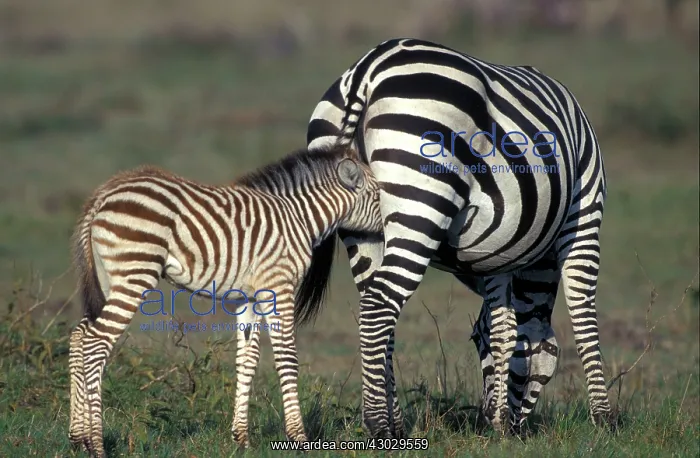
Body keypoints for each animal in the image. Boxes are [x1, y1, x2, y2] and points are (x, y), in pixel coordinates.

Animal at [67, 144, 383, 456]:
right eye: (380, 196)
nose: (390, 231)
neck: (299, 218)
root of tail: (103, 194)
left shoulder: (249, 297)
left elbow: (247, 360)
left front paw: (241, 438)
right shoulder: (277, 286)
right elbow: (287, 358)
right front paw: (299, 438)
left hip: (107, 279)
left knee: (79, 336)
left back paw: (79, 438)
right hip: (134, 272)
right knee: (95, 342)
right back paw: (97, 445)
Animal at [304, 37, 612, 437]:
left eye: (475, 344)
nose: (505, 426)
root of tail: (368, 67)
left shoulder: (499, 250)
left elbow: (500, 326)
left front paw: (497, 416)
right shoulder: (585, 212)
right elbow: (581, 315)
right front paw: (603, 418)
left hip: (363, 227)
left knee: (380, 314)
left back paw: (396, 421)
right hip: (421, 194)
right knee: (379, 305)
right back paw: (379, 425)